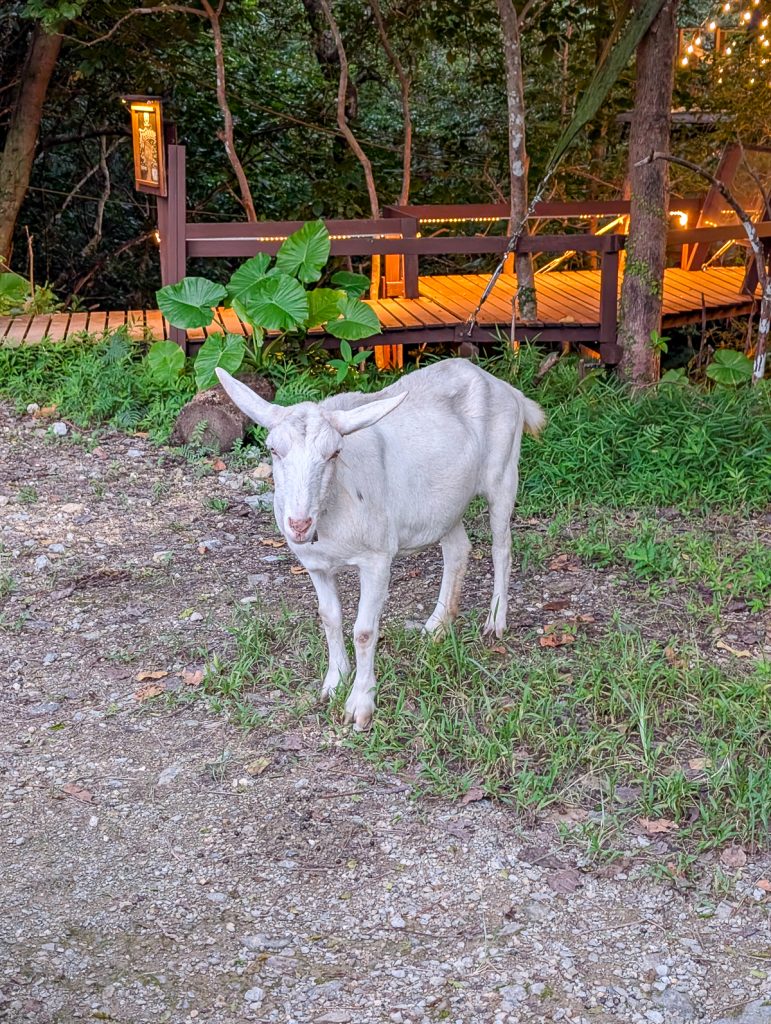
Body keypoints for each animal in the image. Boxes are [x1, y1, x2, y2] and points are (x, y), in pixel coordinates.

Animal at [216, 359, 545, 730]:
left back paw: (495, 621)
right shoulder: (315, 563)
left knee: (502, 547)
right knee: (457, 548)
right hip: (445, 502)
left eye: (334, 453)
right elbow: (329, 617)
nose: (299, 524)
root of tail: (507, 388)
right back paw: (437, 625)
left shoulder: (377, 558)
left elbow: (363, 630)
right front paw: (333, 683)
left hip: (504, 474)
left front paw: (360, 706)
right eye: (273, 449)